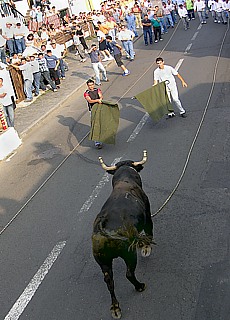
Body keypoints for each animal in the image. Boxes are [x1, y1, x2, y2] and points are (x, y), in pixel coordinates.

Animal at [91, 151, 155, 318]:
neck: (125, 181)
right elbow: (149, 232)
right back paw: (140, 286)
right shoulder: (148, 215)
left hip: (104, 262)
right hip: (128, 254)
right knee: (129, 274)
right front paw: (146, 248)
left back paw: (115, 307)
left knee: (109, 282)